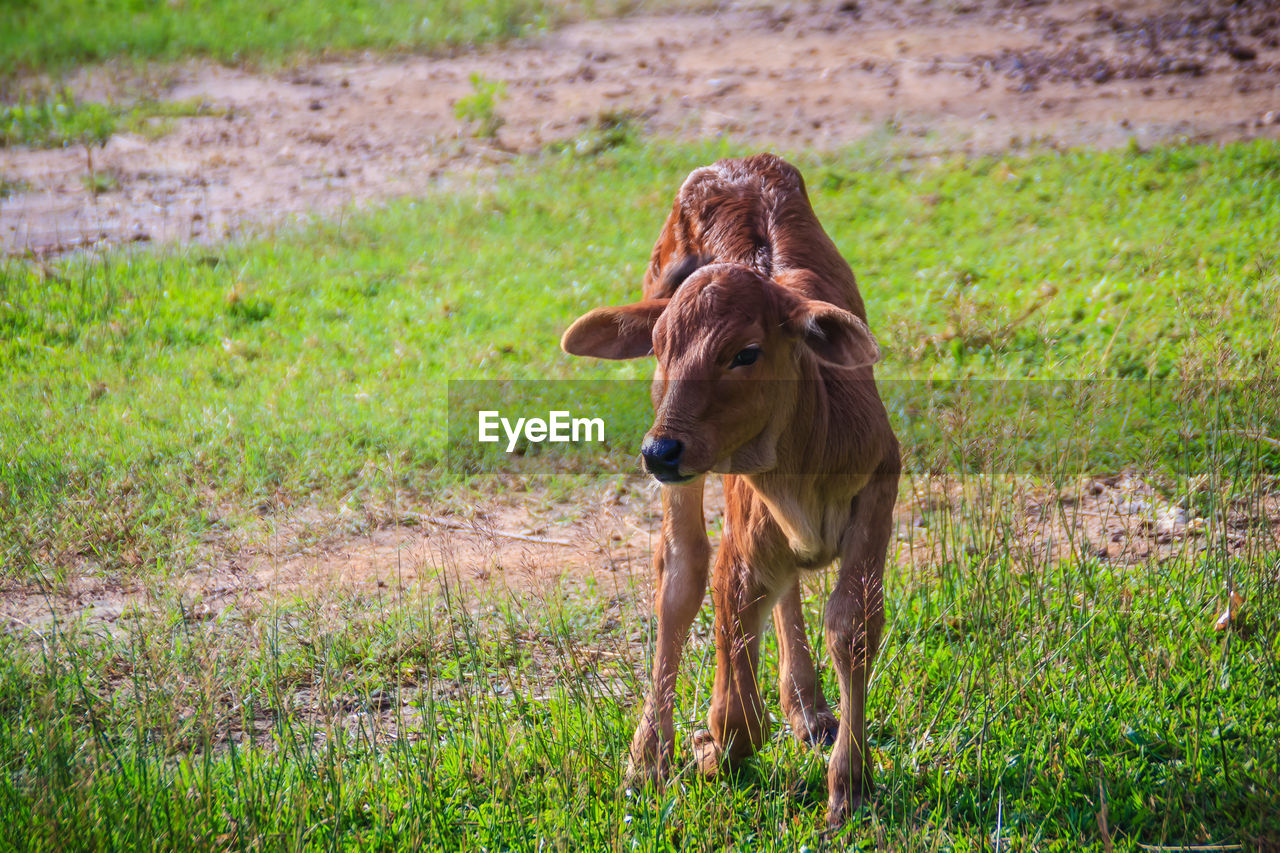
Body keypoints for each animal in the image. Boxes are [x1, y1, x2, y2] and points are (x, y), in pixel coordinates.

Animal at [560, 153, 901, 824]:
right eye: (660, 348)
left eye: (746, 352)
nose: (659, 451)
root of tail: (734, 166)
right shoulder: (741, 540)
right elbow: (735, 696)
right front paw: (709, 750)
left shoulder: (879, 489)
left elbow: (852, 624)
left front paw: (849, 783)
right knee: (681, 570)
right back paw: (648, 756)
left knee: (786, 589)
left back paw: (807, 708)